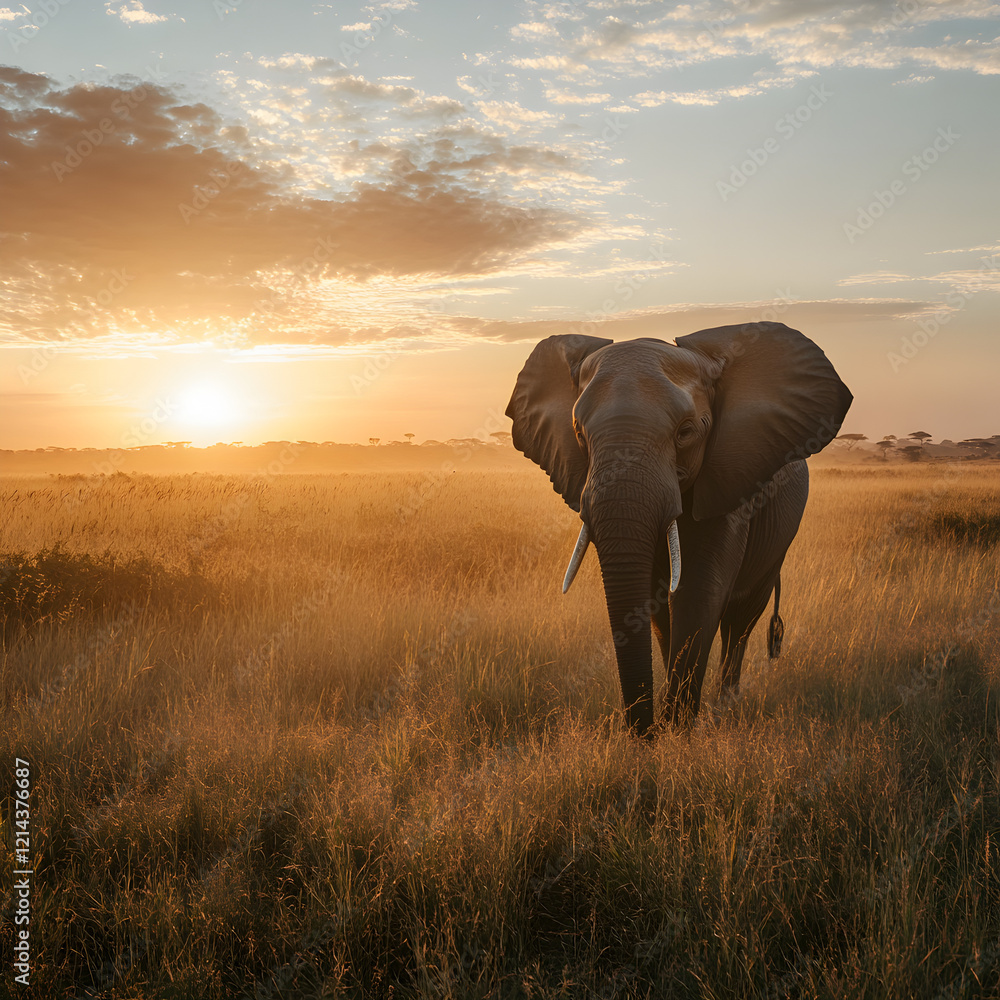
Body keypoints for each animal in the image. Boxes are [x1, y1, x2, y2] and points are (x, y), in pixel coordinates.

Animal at [505, 322, 852, 735]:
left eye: (686, 432)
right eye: (578, 433)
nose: (643, 736)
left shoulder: (728, 482)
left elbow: (696, 592)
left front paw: (677, 734)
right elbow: (657, 604)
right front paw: (668, 729)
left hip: (782, 534)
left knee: (742, 618)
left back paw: (726, 707)